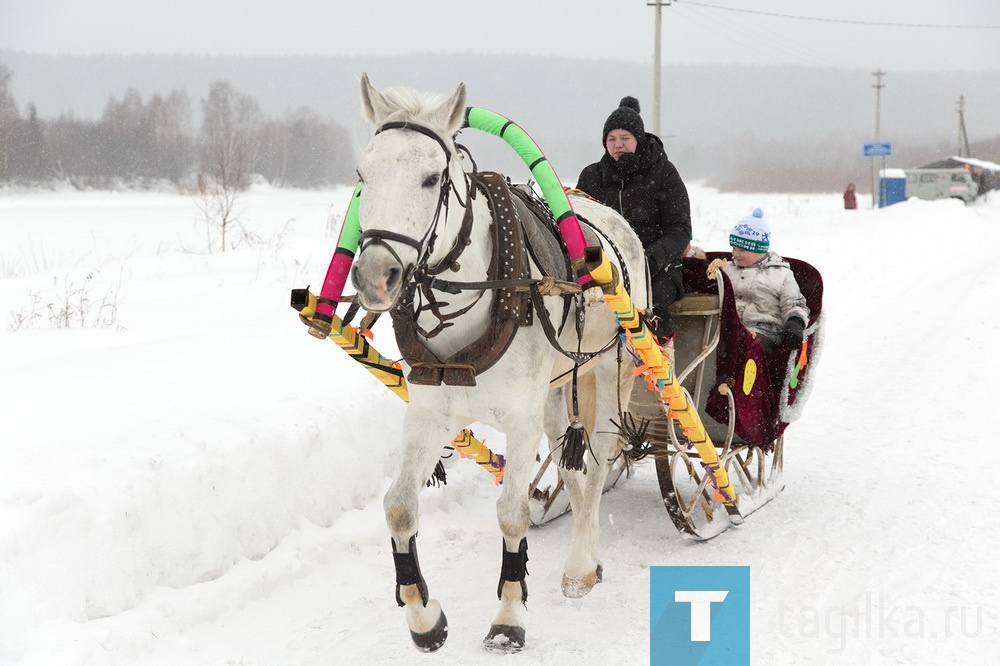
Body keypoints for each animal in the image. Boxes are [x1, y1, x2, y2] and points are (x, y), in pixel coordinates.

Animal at [352, 72, 648, 648]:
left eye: (430, 178)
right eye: (362, 173)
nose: (374, 276)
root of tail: (609, 216)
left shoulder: (519, 418)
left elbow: (512, 515)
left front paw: (509, 617)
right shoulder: (429, 414)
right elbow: (399, 507)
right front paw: (424, 618)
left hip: (611, 365)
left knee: (601, 453)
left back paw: (580, 563)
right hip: (558, 386)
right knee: (572, 462)